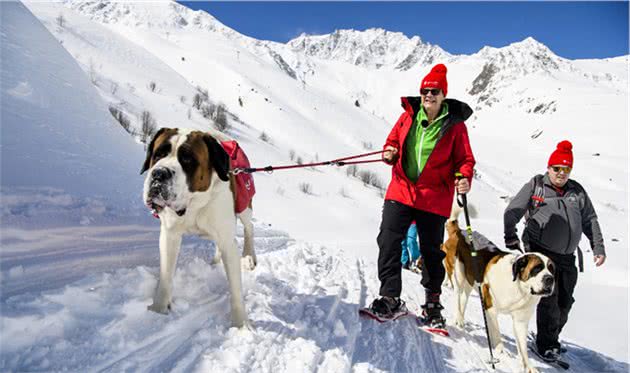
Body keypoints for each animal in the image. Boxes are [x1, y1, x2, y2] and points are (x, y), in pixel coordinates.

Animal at [139, 127, 256, 326]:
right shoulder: (169, 236)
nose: (159, 173)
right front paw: (158, 310)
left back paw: (248, 257)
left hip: (244, 205)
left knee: (249, 228)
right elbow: (166, 275)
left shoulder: (228, 242)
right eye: (158, 154)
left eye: (187, 160)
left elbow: (235, 289)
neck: (193, 206)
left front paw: (240, 325)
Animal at [446, 205, 556, 370]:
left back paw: (461, 320)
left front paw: (528, 366)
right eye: (537, 268)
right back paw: (458, 319)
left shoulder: (521, 320)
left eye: (551, 269)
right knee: (457, 296)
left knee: (464, 298)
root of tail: (459, 232)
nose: (550, 279)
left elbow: (522, 346)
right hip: (458, 273)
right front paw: (500, 352)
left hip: (470, 281)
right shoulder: (490, 307)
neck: (519, 287)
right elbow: (496, 332)